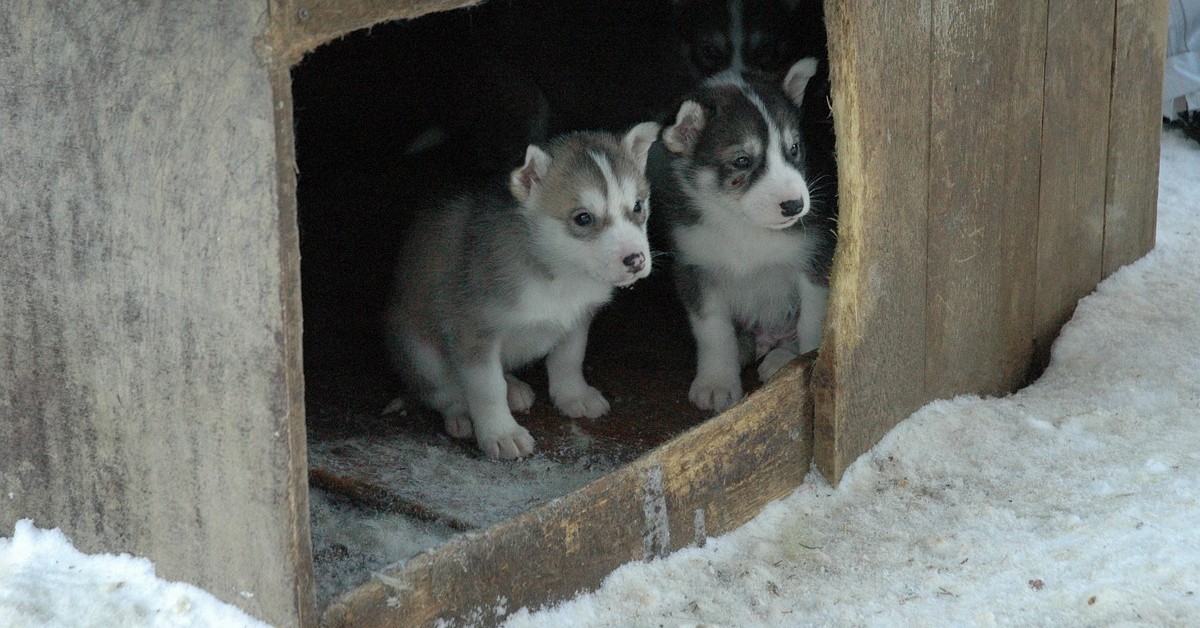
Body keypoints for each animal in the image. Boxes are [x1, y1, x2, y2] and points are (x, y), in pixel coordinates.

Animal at [384, 120, 662, 458]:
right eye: (583, 217)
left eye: (637, 205)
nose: (636, 260)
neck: (558, 276)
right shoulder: (473, 331)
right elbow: (487, 387)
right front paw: (502, 434)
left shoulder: (577, 318)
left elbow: (569, 358)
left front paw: (574, 395)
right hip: (417, 349)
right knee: (439, 390)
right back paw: (461, 412)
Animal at [648, 57, 835, 413]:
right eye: (742, 161)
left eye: (794, 148)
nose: (795, 205)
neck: (743, 225)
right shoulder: (695, 269)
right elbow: (713, 331)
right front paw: (717, 381)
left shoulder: (816, 262)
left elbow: (812, 321)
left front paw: (808, 361)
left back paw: (780, 357)